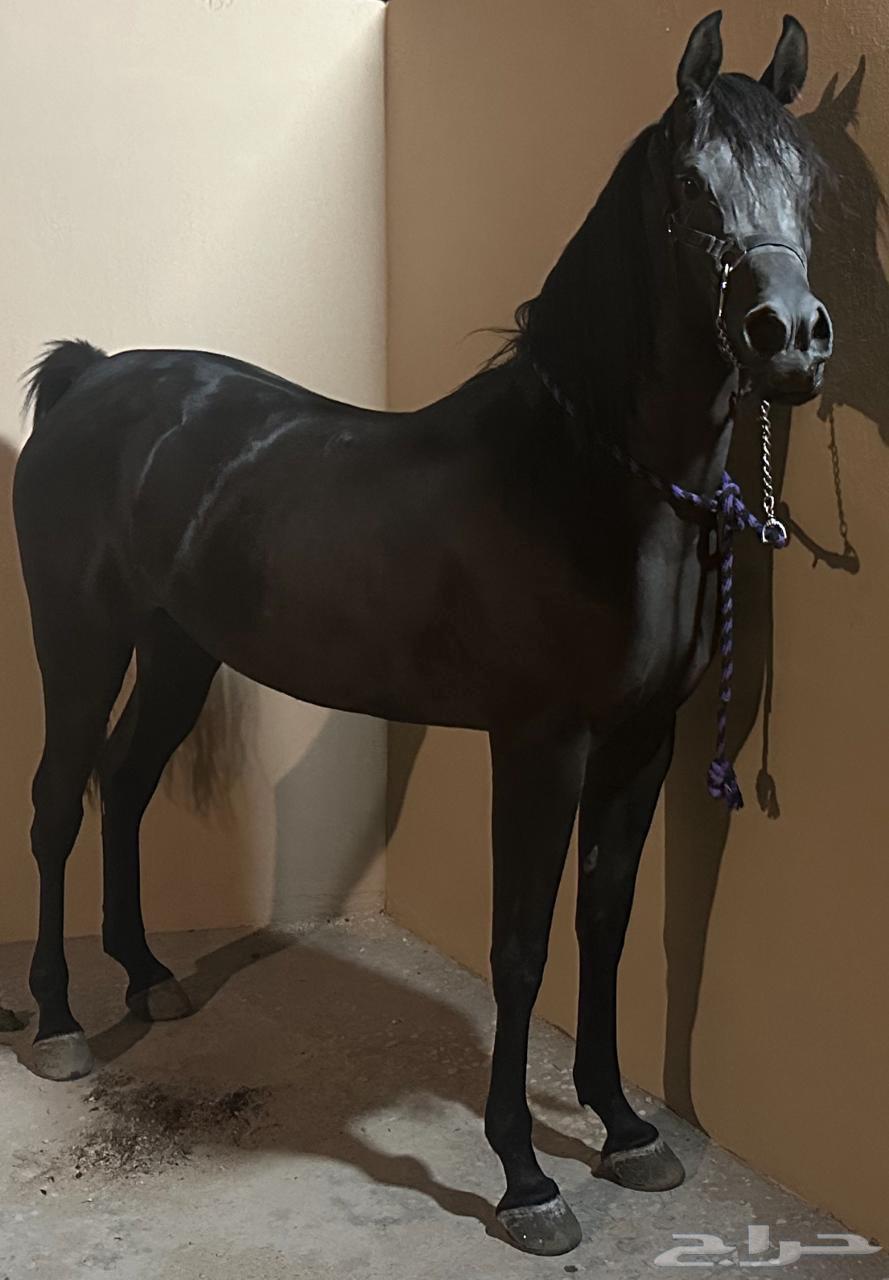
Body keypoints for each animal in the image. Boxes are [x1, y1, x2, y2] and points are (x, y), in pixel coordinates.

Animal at [13, 10, 831, 1257]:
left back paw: (148, 974)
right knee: (61, 798)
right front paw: (525, 1175)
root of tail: (93, 375)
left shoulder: (641, 744)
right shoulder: (539, 744)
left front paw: (624, 1124)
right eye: (694, 183)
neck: (587, 480)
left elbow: (605, 923)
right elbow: (522, 943)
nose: (787, 336)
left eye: (811, 179)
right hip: (83, 641)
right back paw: (59, 1018)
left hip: (180, 649)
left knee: (125, 781)